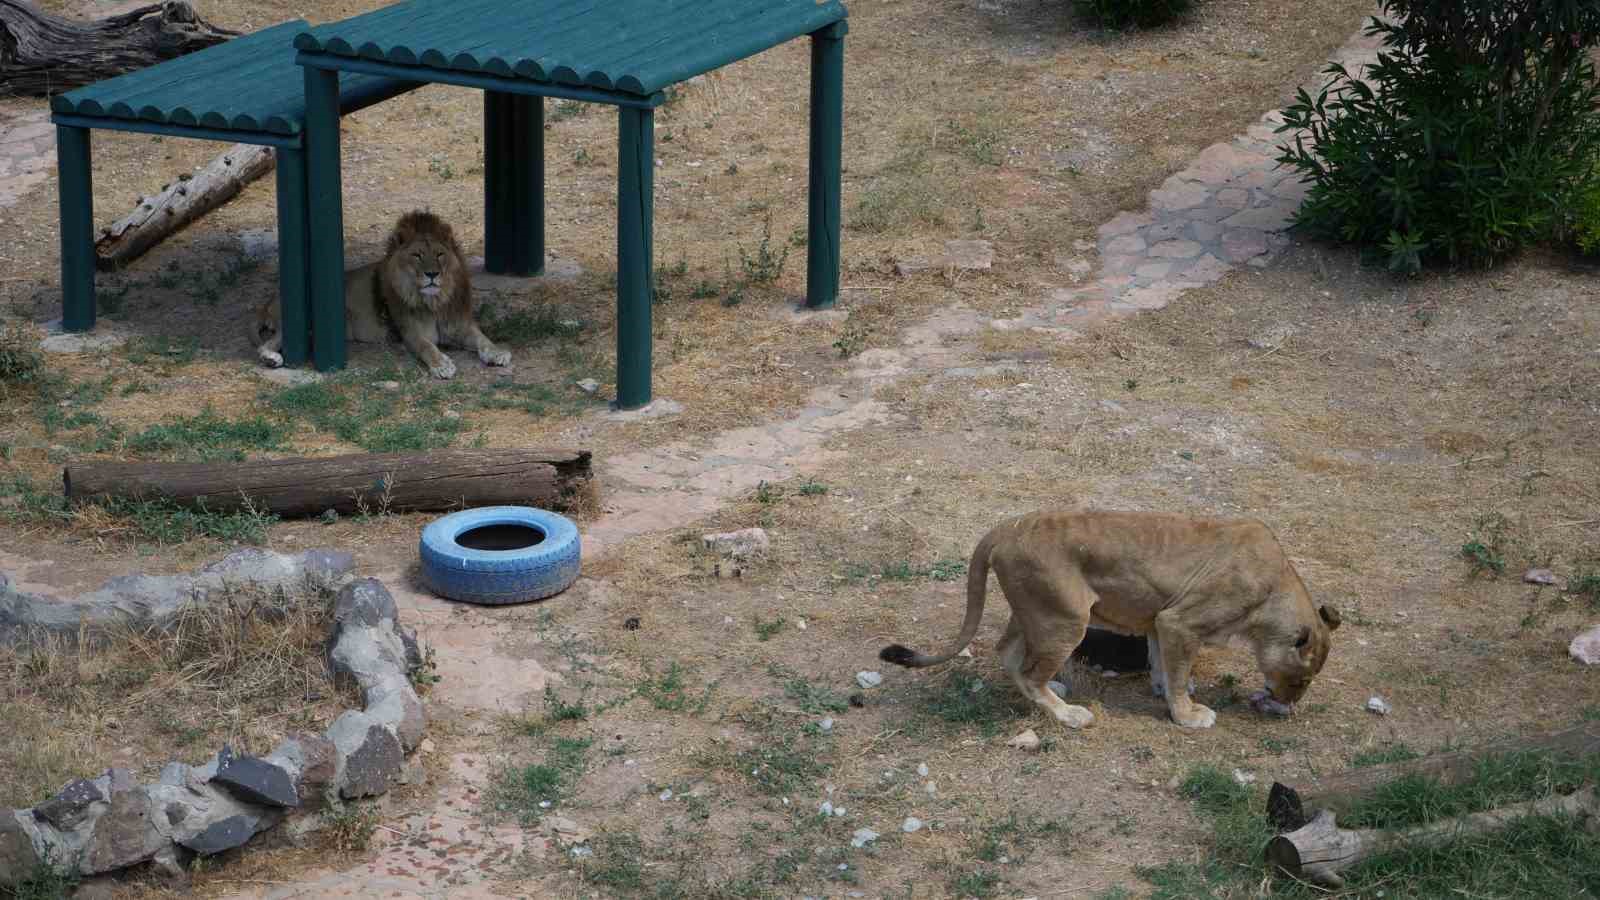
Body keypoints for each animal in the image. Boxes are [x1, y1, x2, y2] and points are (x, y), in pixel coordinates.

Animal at [249, 208, 505, 376]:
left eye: (440, 255)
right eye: (417, 255)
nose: (432, 274)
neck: (435, 301)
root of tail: (270, 301)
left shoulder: (461, 325)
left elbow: (483, 339)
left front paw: (497, 353)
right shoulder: (411, 332)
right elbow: (427, 348)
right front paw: (442, 364)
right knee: (267, 344)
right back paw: (271, 358)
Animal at [876, 509, 1337, 723]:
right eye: (1301, 681)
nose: (1287, 704)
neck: (1275, 591)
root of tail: (1005, 527)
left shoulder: (1161, 619)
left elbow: (1163, 664)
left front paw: (1164, 691)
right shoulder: (1181, 623)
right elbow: (1179, 673)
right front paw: (1188, 715)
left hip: (1036, 611)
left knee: (1008, 652)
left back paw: (1055, 689)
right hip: (1065, 618)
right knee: (1028, 671)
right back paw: (1067, 714)